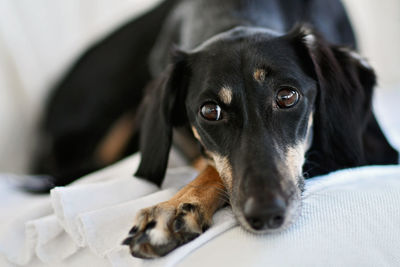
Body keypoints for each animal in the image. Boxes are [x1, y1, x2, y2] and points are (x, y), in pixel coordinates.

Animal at [33, 0, 396, 260]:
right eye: (210, 111)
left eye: (287, 96)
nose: (267, 215)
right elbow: (210, 163)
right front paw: (176, 208)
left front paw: (176, 209)